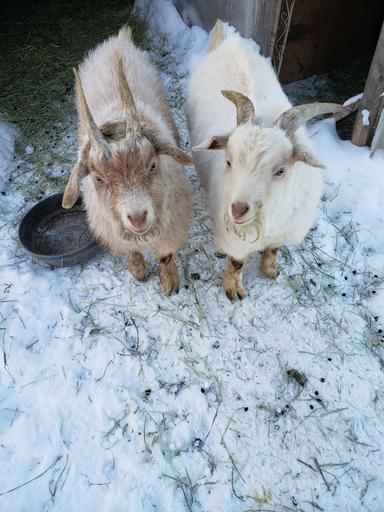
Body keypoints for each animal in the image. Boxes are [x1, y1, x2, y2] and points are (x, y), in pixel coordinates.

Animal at [64, 25, 194, 296]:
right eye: (98, 178)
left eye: (152, 165)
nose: (137, 217)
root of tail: (118, 40)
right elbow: (131, 252)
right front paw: (138, 272)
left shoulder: (171, 226)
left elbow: (165, 254)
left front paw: (170, 283)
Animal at [186, 21, 352, 300]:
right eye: (228, 162)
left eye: (281, 170)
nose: (238, 209)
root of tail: (231, 42)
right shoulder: (234, 239)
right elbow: (237, 263)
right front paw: (234, 289)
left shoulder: (286, 232)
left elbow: (273, 250)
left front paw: (271, 269)